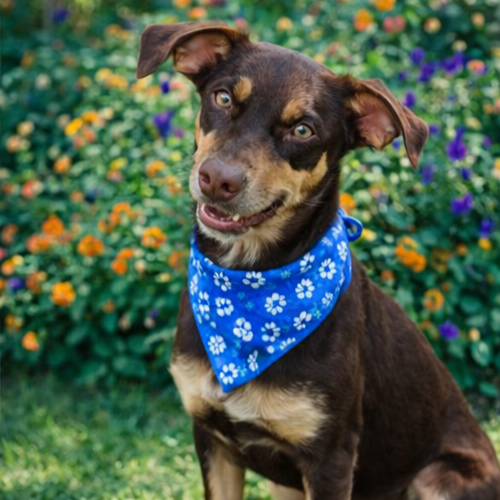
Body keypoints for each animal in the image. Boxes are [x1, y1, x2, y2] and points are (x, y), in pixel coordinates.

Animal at [136, 21, 500, 500]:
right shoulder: (213, 440)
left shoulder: (331, 457)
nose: (217, 179)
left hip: (437, 476)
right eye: (223, 98)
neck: (250, 287)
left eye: (304, 130)